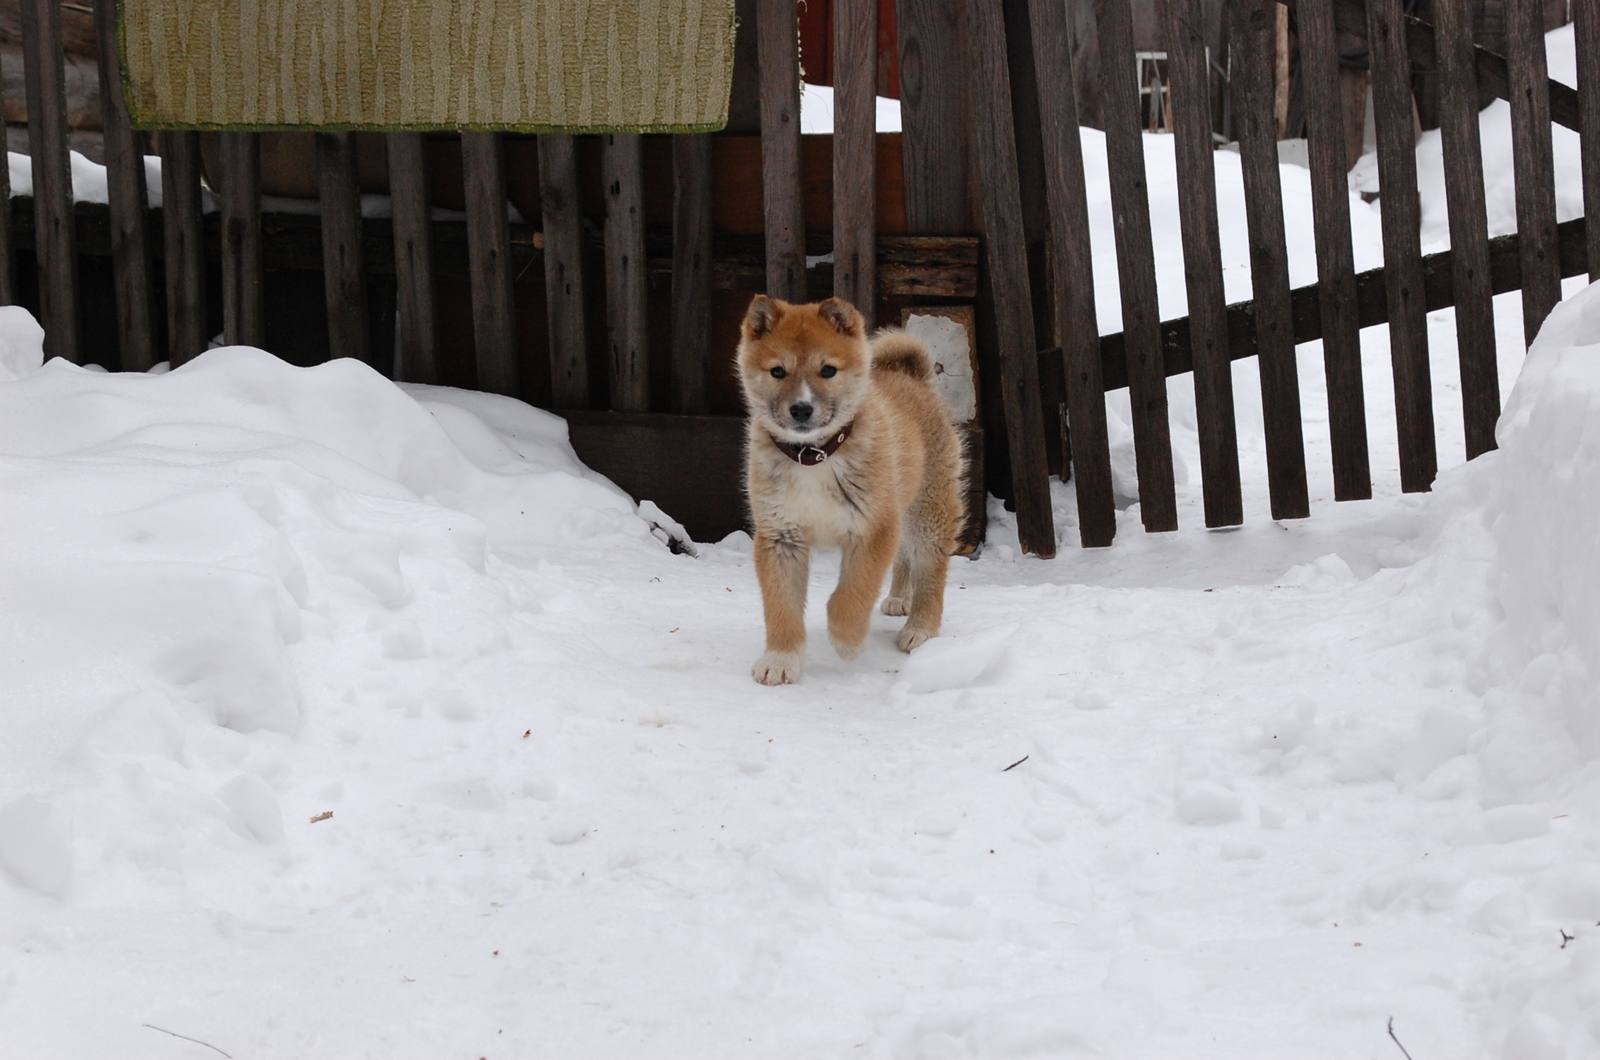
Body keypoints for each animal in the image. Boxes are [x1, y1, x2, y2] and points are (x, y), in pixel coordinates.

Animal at [736, 294, 960, 685]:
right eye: (778, 371)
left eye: (828, 370)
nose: (801, 409)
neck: (813, 456)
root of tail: (911, 375)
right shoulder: (780, 536)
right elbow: (781, 606)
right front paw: (781, 658)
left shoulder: (872, 529)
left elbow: (851, 595)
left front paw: (847, 640)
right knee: (905, 556)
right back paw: (900, 598)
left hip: (928, 511)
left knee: (930, 571)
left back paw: (920, 628)